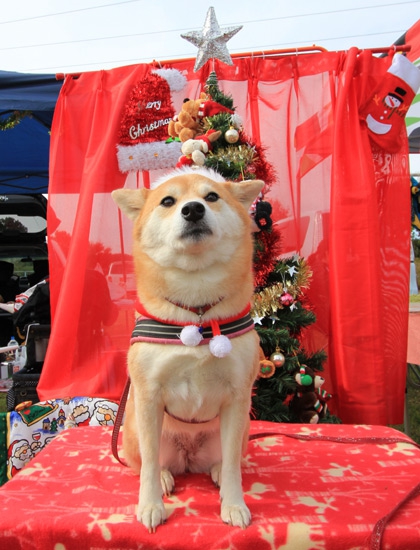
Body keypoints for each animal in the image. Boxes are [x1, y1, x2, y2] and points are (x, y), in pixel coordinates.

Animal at [111, 169, 262, 536]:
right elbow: (149, 466)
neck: (197, 313)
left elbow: (234, 468)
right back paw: (166, 477)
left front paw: (233, 505)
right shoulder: (149, 395)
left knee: (225, 459)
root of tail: (189, 458)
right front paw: (150, 505)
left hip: (241, 431)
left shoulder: (237, 397)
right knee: (146, 463)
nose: (193, 209)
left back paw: (217, 471)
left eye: (211, 196)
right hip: (133, 430)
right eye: (168, 201)